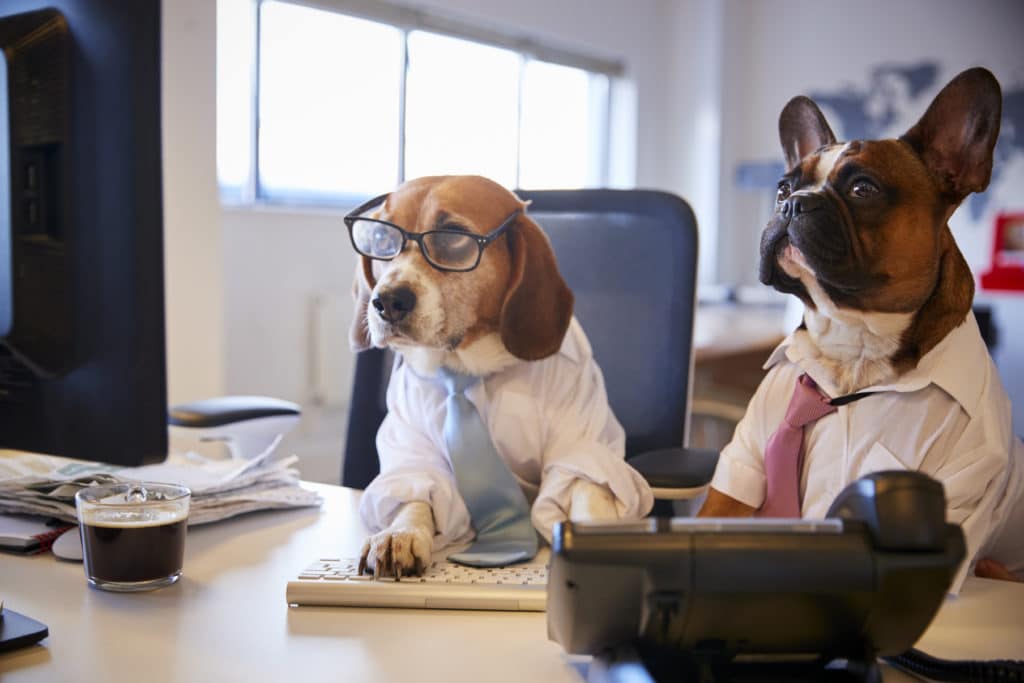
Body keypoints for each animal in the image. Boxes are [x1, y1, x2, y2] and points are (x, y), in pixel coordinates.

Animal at [344, 175, 647, 577]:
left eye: (453, 237)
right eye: (381, 239)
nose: (388, 301)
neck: (468, 367)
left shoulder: (582, 443)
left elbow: (586, 487)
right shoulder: (412, 449)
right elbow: (415, 496)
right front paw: (400, 534)